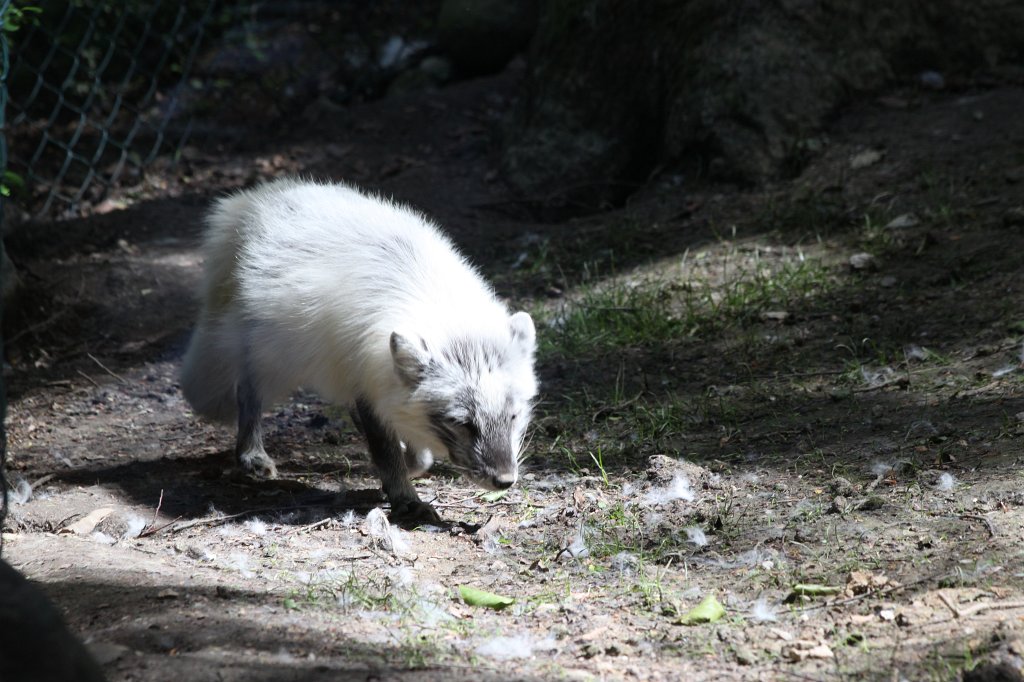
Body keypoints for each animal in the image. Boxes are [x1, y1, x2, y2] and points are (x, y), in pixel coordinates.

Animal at [180, 178, 538, 524]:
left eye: (512, 416)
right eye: (462, 423)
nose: (505, 481)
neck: (444, 311)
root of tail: (251, 200)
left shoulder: (377, 381)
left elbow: (417, 453)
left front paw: (403, 470)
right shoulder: (368, 382)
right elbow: (387, 453)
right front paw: (406, 501)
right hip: (272, 358)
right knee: (248, 394)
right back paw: (251, 455)